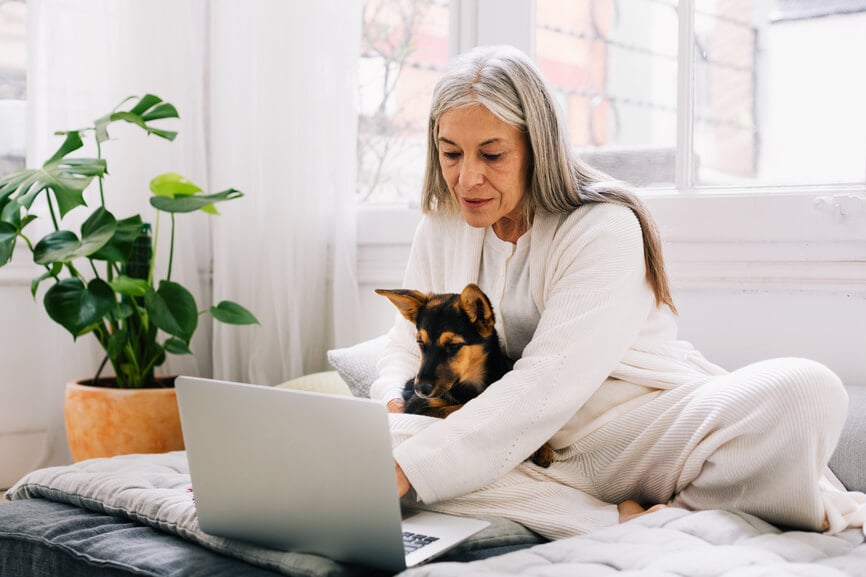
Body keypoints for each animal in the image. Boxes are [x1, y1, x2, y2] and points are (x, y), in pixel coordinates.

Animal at [372, 284, 552, 468]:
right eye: (420, 343)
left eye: (453, 345)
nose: (419, 389)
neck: (470, 385)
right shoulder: (417, 408)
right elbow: (461, 407)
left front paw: (542, 445)